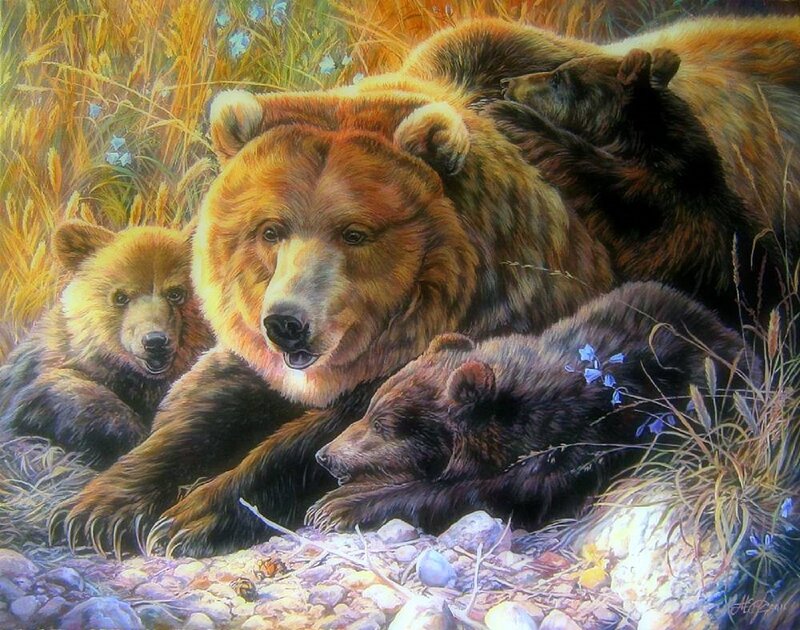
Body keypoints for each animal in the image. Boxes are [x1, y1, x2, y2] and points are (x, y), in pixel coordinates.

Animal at [52, 80, 614, 556]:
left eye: (355, 233)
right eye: (271, 230)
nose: (286, 323)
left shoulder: (469, 337)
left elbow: (334, 437)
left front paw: (190, 517)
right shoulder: (259, 364)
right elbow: (204, 406)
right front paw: (98, 508)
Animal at [307, 282, 756, 533]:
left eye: (384, 424)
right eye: (369, 411)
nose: (324, 456)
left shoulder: (574, 440)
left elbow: (492, 493)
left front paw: (339, 506)